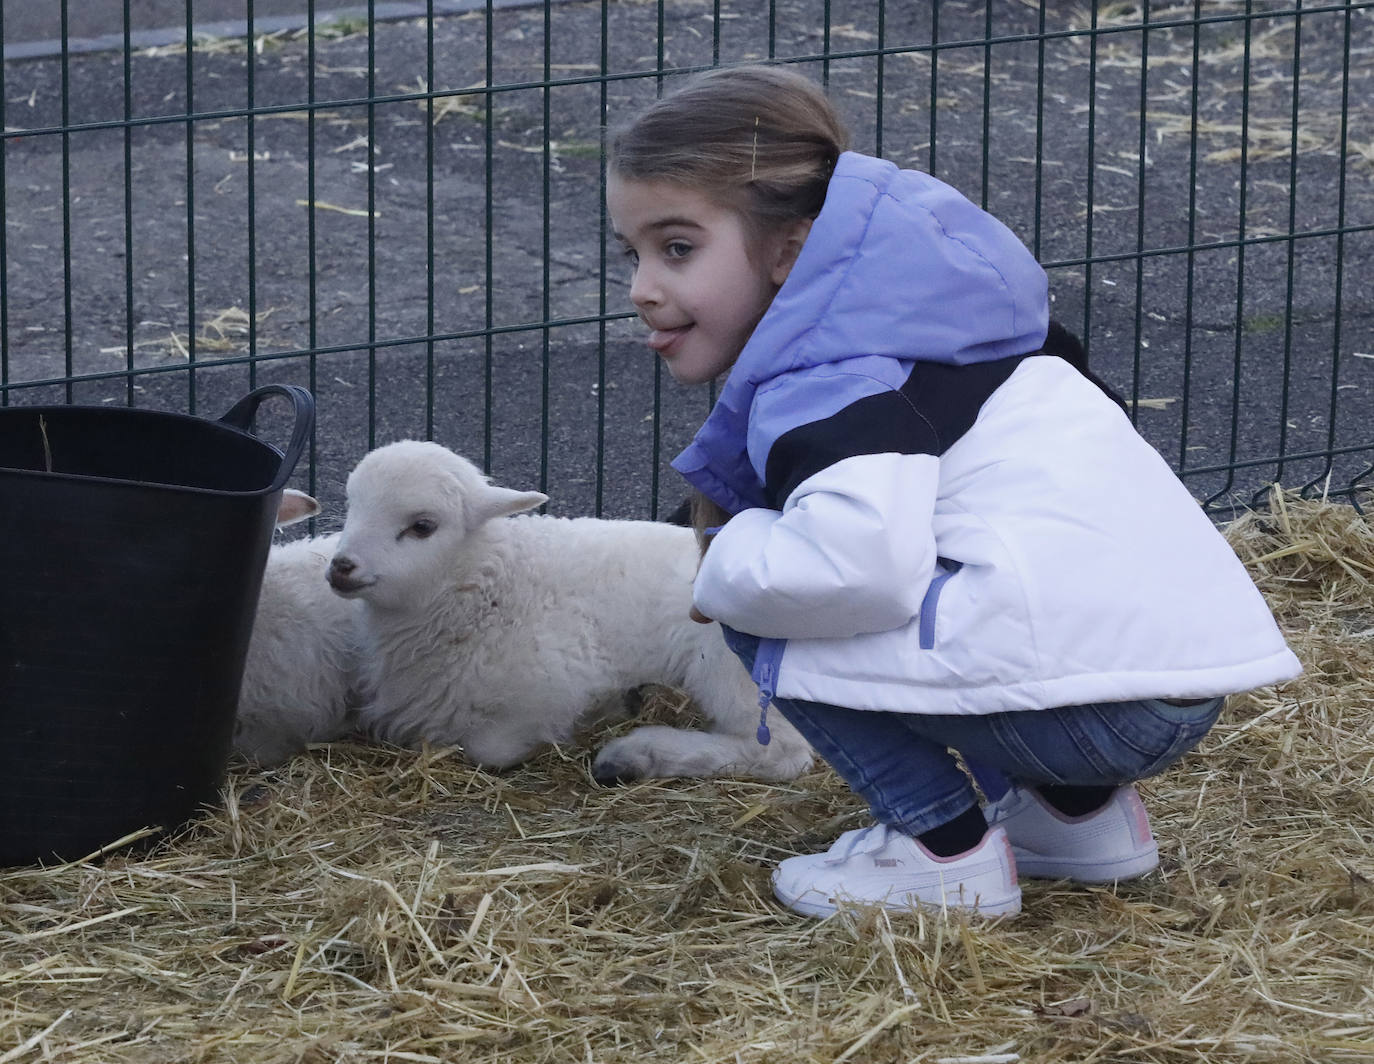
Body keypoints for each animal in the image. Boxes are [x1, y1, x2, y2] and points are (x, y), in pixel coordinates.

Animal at [325, 442, 807, 780]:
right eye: (352, 507)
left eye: (422, 526)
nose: (340, 568)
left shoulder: (553, 687)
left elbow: (491, 749)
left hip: (733, 670)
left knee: (782, 752)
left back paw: (635, 755)